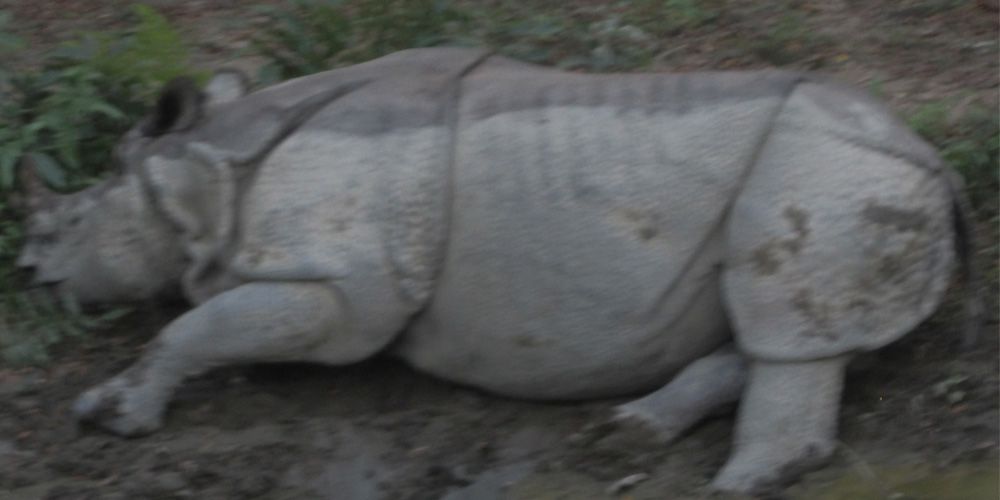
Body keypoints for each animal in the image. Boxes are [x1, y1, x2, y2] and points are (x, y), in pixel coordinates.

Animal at [15, 47, 968, 492]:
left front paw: (116, 420)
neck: (205, 176)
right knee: (784, 329)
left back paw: (731, 483)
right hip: (840, 166)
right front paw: (106, 406)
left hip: (825, 163)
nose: (27, 267)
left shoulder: (346, 285)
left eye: (72, 222)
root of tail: (932, 156)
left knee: (788, 324)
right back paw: (626, 434)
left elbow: (194, 326)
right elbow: (201, 325)